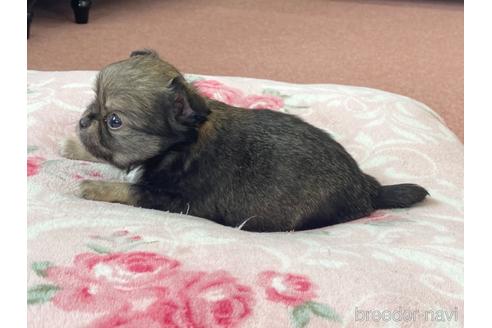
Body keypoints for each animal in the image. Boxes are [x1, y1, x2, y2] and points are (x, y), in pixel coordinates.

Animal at [63, 50, 428, 232]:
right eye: (93, 101)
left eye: (114, 121)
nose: (84, 119)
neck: (176, 145)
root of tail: (368, 189)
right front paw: (73, 146)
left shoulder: (176, 200)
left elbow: (129, 189)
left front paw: (94, 187)